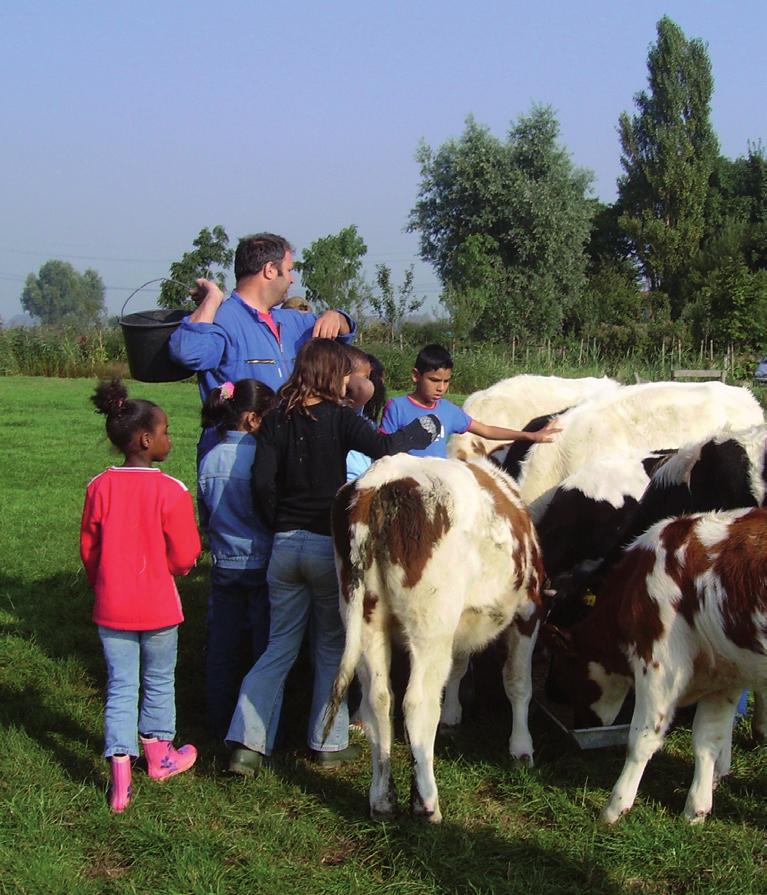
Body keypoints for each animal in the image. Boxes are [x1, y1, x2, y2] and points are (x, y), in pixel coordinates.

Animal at [328, 458, 544, 824]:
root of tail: (380, 483)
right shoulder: (528, 612)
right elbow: (518, 684)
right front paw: (522, 747)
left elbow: (458, 668)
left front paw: (454, 714)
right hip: (430, 628)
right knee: (417, 704)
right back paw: (426, 803)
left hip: (368, 620)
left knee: (379, 700)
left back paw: (382, 800)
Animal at [548, 512, 767, 824]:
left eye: (566, 675)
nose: (580, 725)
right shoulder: (724, 678)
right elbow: (708, 740)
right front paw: (696, 810)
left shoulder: (661, 667)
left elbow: (641, 739)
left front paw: (615, 807)